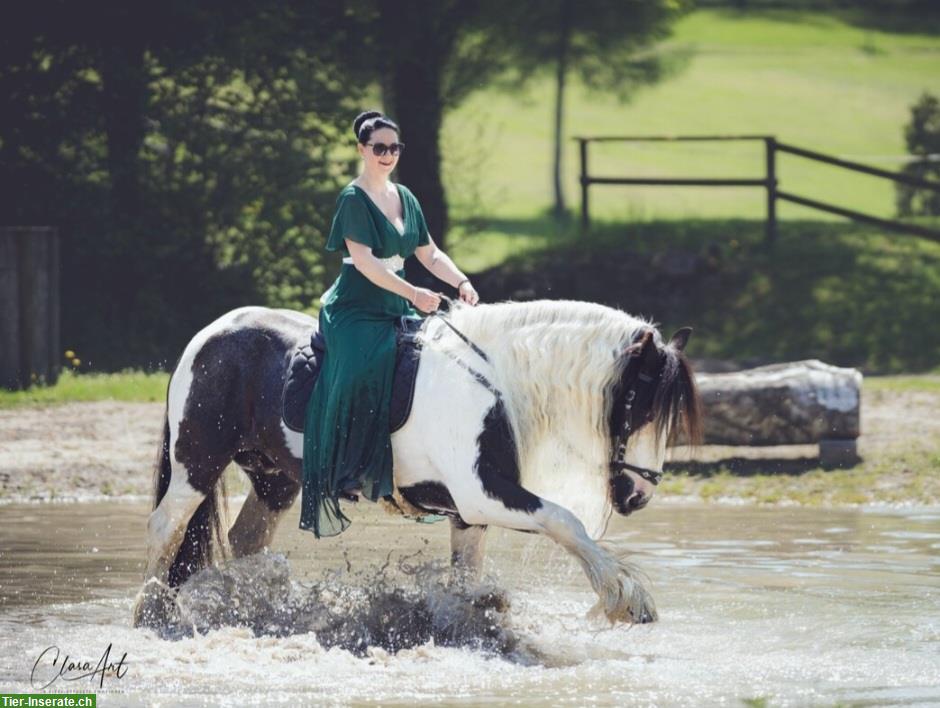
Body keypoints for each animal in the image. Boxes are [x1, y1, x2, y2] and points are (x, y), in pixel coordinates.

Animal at [136, 298, 700, 624]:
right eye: (640, 404)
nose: (639, 494)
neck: (493, 379)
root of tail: (211, 333)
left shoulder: (469, 511)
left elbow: (469, 577)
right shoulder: (485, 493)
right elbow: (566, 521)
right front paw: (624, 595)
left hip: (274, 478)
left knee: (246, 538)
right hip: (197, 464)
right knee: (166, 526)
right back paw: (151, 608)